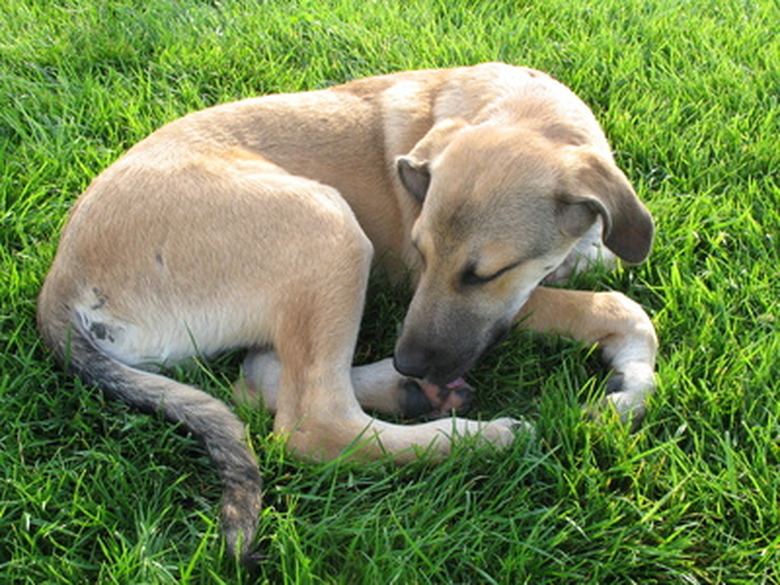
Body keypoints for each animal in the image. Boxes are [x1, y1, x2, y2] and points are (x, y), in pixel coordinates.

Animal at [38, 62, 660, 560]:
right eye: (421, 251)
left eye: (483, 274)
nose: (412, 362)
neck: (518, 105)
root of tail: (60, 281)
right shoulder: (442, 288)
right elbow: (623, 307)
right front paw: (631, 383)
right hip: (328, 226)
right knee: (314, 425)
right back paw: (476, 435)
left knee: (259, 379)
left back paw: (408, 393)